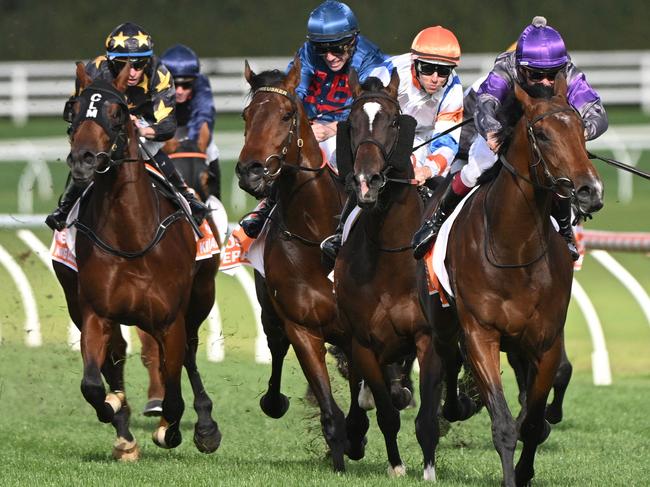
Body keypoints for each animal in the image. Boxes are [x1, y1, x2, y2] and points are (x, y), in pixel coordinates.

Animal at [51, 63, 223, 460]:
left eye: (117, 113)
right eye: (74, 110)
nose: (83, 159)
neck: (131, 237)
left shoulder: (169, 319)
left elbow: (175, 389)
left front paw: (173, 429)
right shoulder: (95, 313)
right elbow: (92, 385)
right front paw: (117, 414)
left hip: (200, 297)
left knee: (189, 353)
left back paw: (205, 425)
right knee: (115, 359)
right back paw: (124, 429)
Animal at [234, 59, 370, 470]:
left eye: (286, 114)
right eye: (246, 114)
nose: (251, 170)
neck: (316, 233)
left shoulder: (356, 330)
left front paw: (357, 435)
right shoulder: (302, 327)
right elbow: (329, 409)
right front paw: (339, 448)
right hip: (270, 310)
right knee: (275, 345)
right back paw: (274, 400)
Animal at [332, 72, 474, 480]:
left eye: (394, 121)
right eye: (351, 122)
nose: (367, 181)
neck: (389, 256)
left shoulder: (427, 337)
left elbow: (426, 414)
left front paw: (429, 470)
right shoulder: (364, 343)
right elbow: (385, 411)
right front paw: (396, 465)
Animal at [416, 74, 604, 486]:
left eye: (581, 130)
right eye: (542, 133)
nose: (590, 191)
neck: (514, 248)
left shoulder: (545, 341)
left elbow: (532, 421)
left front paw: (526, 466)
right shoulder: (481, 333)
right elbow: (503, 423)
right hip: (442, 321)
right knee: (449, 357)